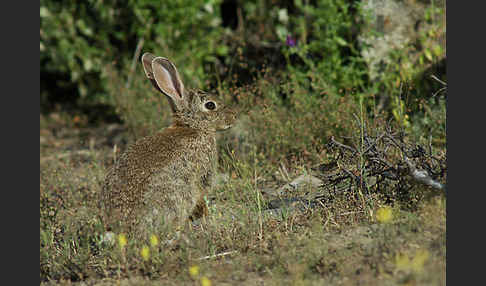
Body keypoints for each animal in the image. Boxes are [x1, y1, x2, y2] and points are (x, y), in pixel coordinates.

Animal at [101, 52, 238, 236]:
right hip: (178, 195)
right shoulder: (203, 175)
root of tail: (120, 229)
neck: (192, 127)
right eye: (210, 105)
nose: (234, 115)